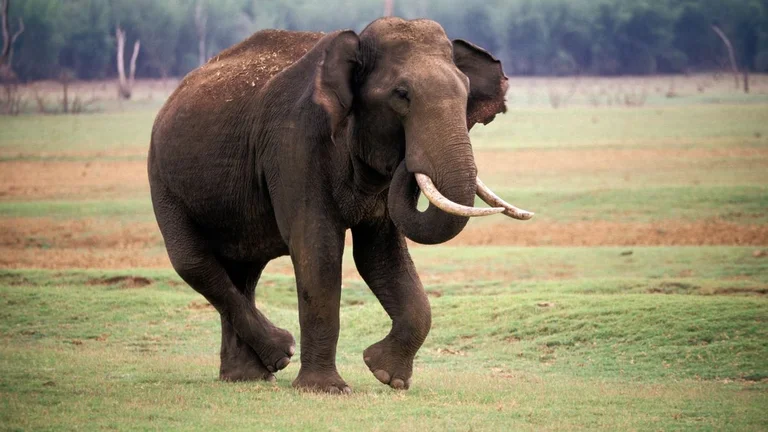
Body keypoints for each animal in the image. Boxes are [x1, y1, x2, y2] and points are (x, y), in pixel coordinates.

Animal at [148, 17, 532, 393]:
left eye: (466, 94)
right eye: (402, 95)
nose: (407, 159)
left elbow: (380, 254)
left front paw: (388, 375)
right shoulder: (294, 143)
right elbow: (317, 248)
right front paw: (327, 389)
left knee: (245, 270)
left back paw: (250, 375)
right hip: (162, 179)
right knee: (192, 262)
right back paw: (279, 354)